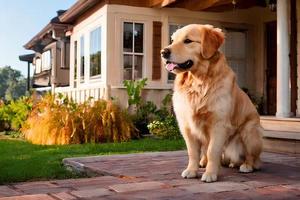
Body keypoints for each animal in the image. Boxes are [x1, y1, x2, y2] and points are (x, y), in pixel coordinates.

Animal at [162, 24, 262, 182]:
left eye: (187, 41)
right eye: (172, 40)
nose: (163, 52)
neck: (198, 82)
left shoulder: (218, 124)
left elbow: (212, 151)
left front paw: (210, 174)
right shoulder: (186, 126)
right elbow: (193, 152)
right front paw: (191, 170)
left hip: (250, 132)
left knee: (253, 157)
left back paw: (247, 166)